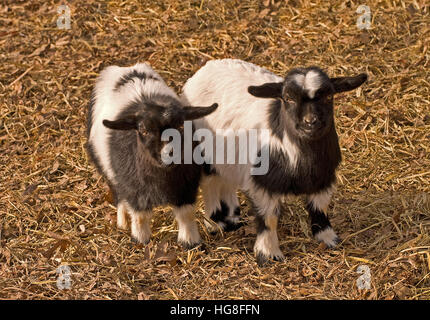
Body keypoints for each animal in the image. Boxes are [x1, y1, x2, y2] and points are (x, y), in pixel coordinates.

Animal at [86, 62, 218, 248]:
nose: (170, 153)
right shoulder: (134, 189)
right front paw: (140, 239)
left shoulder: (186, 186)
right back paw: (122, 222)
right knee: (118, 195)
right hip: (107, 169)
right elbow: (140, 216)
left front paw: (190, 241)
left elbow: (186, 214)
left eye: (180, 126)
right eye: (144, 130)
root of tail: (126, 68)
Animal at [181, 59, 366, 264]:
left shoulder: (323, 177)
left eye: (329, 96)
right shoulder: (263, 184)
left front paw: (328, 238)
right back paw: (214, 223)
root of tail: (208, 66)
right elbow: (268, 219)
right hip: (201, 150)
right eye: (288, 98)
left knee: (225, 178)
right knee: (210, 182)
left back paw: (231, 219)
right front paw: (268, 253)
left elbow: (320, 208)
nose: (310, 122)